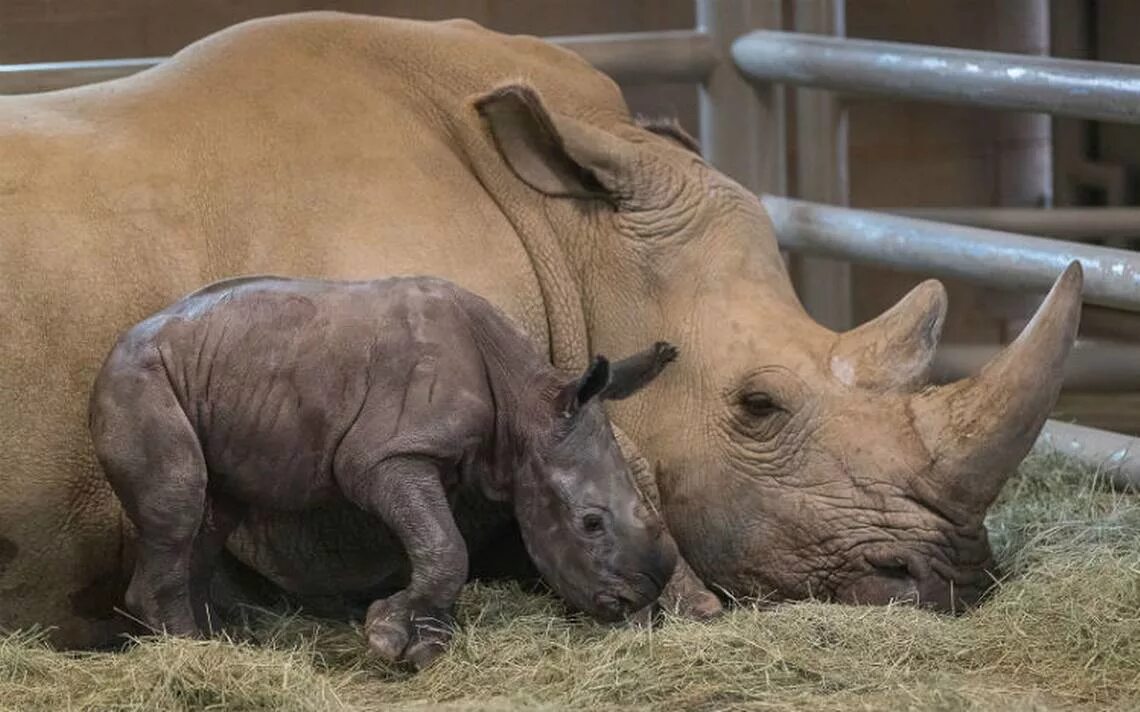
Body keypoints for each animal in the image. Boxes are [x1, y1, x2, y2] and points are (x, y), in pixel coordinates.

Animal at [91, 273, 674, 665]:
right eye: (590, 524)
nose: (636, 598)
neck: (527, 406)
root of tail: (115, 349)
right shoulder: (384, 456)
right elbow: (447, 546)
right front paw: (390, 639)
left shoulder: (429, 458)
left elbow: (439, 543)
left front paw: (424, 642)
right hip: (138, 381)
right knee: (179, 503)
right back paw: (190, 651)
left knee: (213, 515)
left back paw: (223, 642)